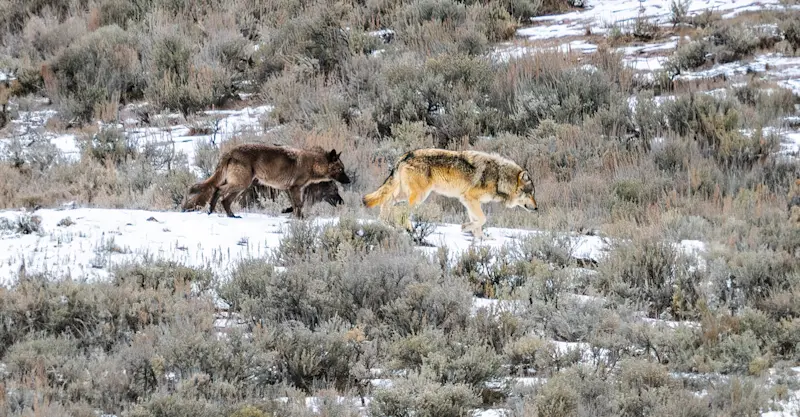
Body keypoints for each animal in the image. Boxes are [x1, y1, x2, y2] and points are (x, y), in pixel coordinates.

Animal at [181, 144, 350, 218]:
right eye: (341, 169)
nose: (348, 181)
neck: (312, 163)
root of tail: (230, 151)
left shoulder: (292, 190)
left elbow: (296, 206)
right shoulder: (294, 189)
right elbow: (298, 205)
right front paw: (300, 219)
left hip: (242, 186)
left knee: (224, 199)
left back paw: (230, 215)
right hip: (241, 184)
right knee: (218, 191)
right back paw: (212, 210)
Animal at [362, 148, 537, 238]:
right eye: (530, 194)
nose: (536, 208)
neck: (499, 177)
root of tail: (406, 155)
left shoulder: (469, 202)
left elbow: (478, 223)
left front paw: (479, 243)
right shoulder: (469, 198)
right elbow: (482, 219)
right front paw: (465, 228)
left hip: (404, 194)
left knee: (387, 203)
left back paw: (383, 224)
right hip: (419, 197)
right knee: (400, 210)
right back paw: (408, 230)